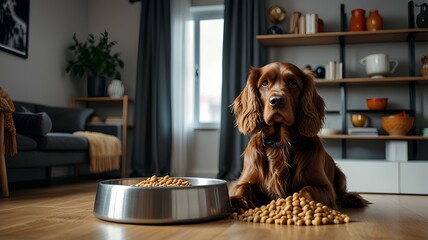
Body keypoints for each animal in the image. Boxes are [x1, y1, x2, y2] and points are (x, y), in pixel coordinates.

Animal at [231, 62, 368, 210]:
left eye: (293, 83)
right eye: (264, 83)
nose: (277, 101)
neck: (281, 143)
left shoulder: (325, 187)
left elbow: (306, 190)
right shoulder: (246, 180)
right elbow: (242, 188)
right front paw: (235, 201)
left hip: (340, 175)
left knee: (342, 192)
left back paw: (352, 199)